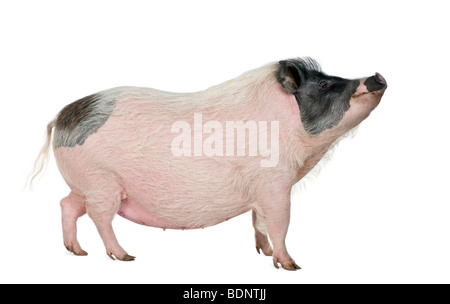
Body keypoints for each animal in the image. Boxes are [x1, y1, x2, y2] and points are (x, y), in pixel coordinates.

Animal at [29, 57, 386, 270]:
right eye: (324, 85)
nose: (376, 75)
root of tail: (61, 118)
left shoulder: (261, 192)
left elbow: (258, 222)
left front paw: (262, 253)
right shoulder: (275, 183)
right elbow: (279, 222)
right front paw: (291, 265)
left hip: (85, 184)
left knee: (67, 205)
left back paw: (77, 252)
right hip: (102, 182)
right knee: (99, 218)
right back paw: (125, 257)